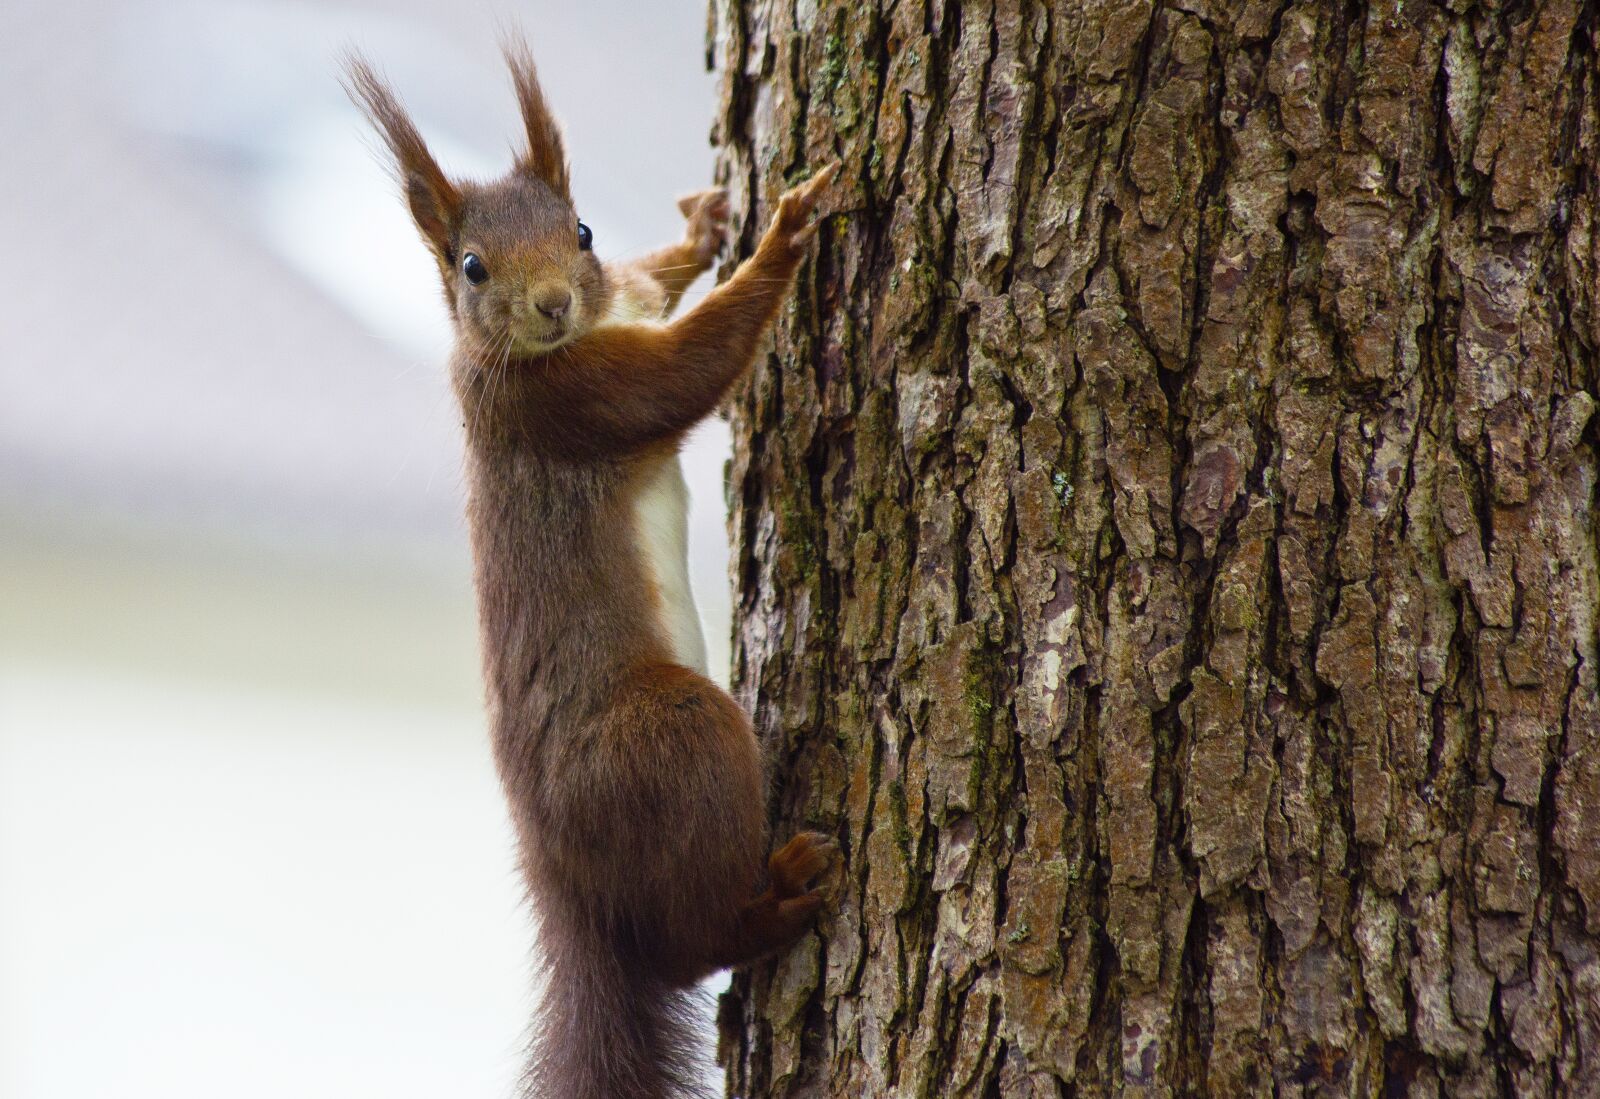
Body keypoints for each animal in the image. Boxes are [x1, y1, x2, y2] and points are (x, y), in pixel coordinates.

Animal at [344, 40, 840, 1099]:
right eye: (470, 265)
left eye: (580, 229)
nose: (553, 303)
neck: (573, 337)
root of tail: (564, 886)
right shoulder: (574, 401)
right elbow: (691, 368)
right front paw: (783, 235)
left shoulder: (623, 305)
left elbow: (657, 282)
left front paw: (705, 225)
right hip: (669, 738)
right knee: (688, 947)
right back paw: (774, 900)